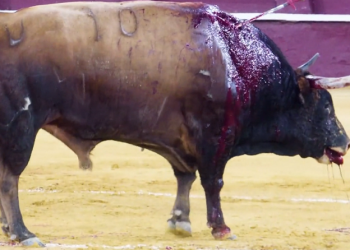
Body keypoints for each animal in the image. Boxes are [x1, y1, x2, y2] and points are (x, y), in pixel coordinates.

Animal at [0, 0, 350, 246]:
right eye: (326, 107)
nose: (344, 141)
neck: (239, 65)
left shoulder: (179, 140)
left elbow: (186, 177)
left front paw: (180, 221)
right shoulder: (215, 138)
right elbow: (212, 182)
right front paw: (221, 228)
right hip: (21, 128)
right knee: (10, 178)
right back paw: (23, 233)